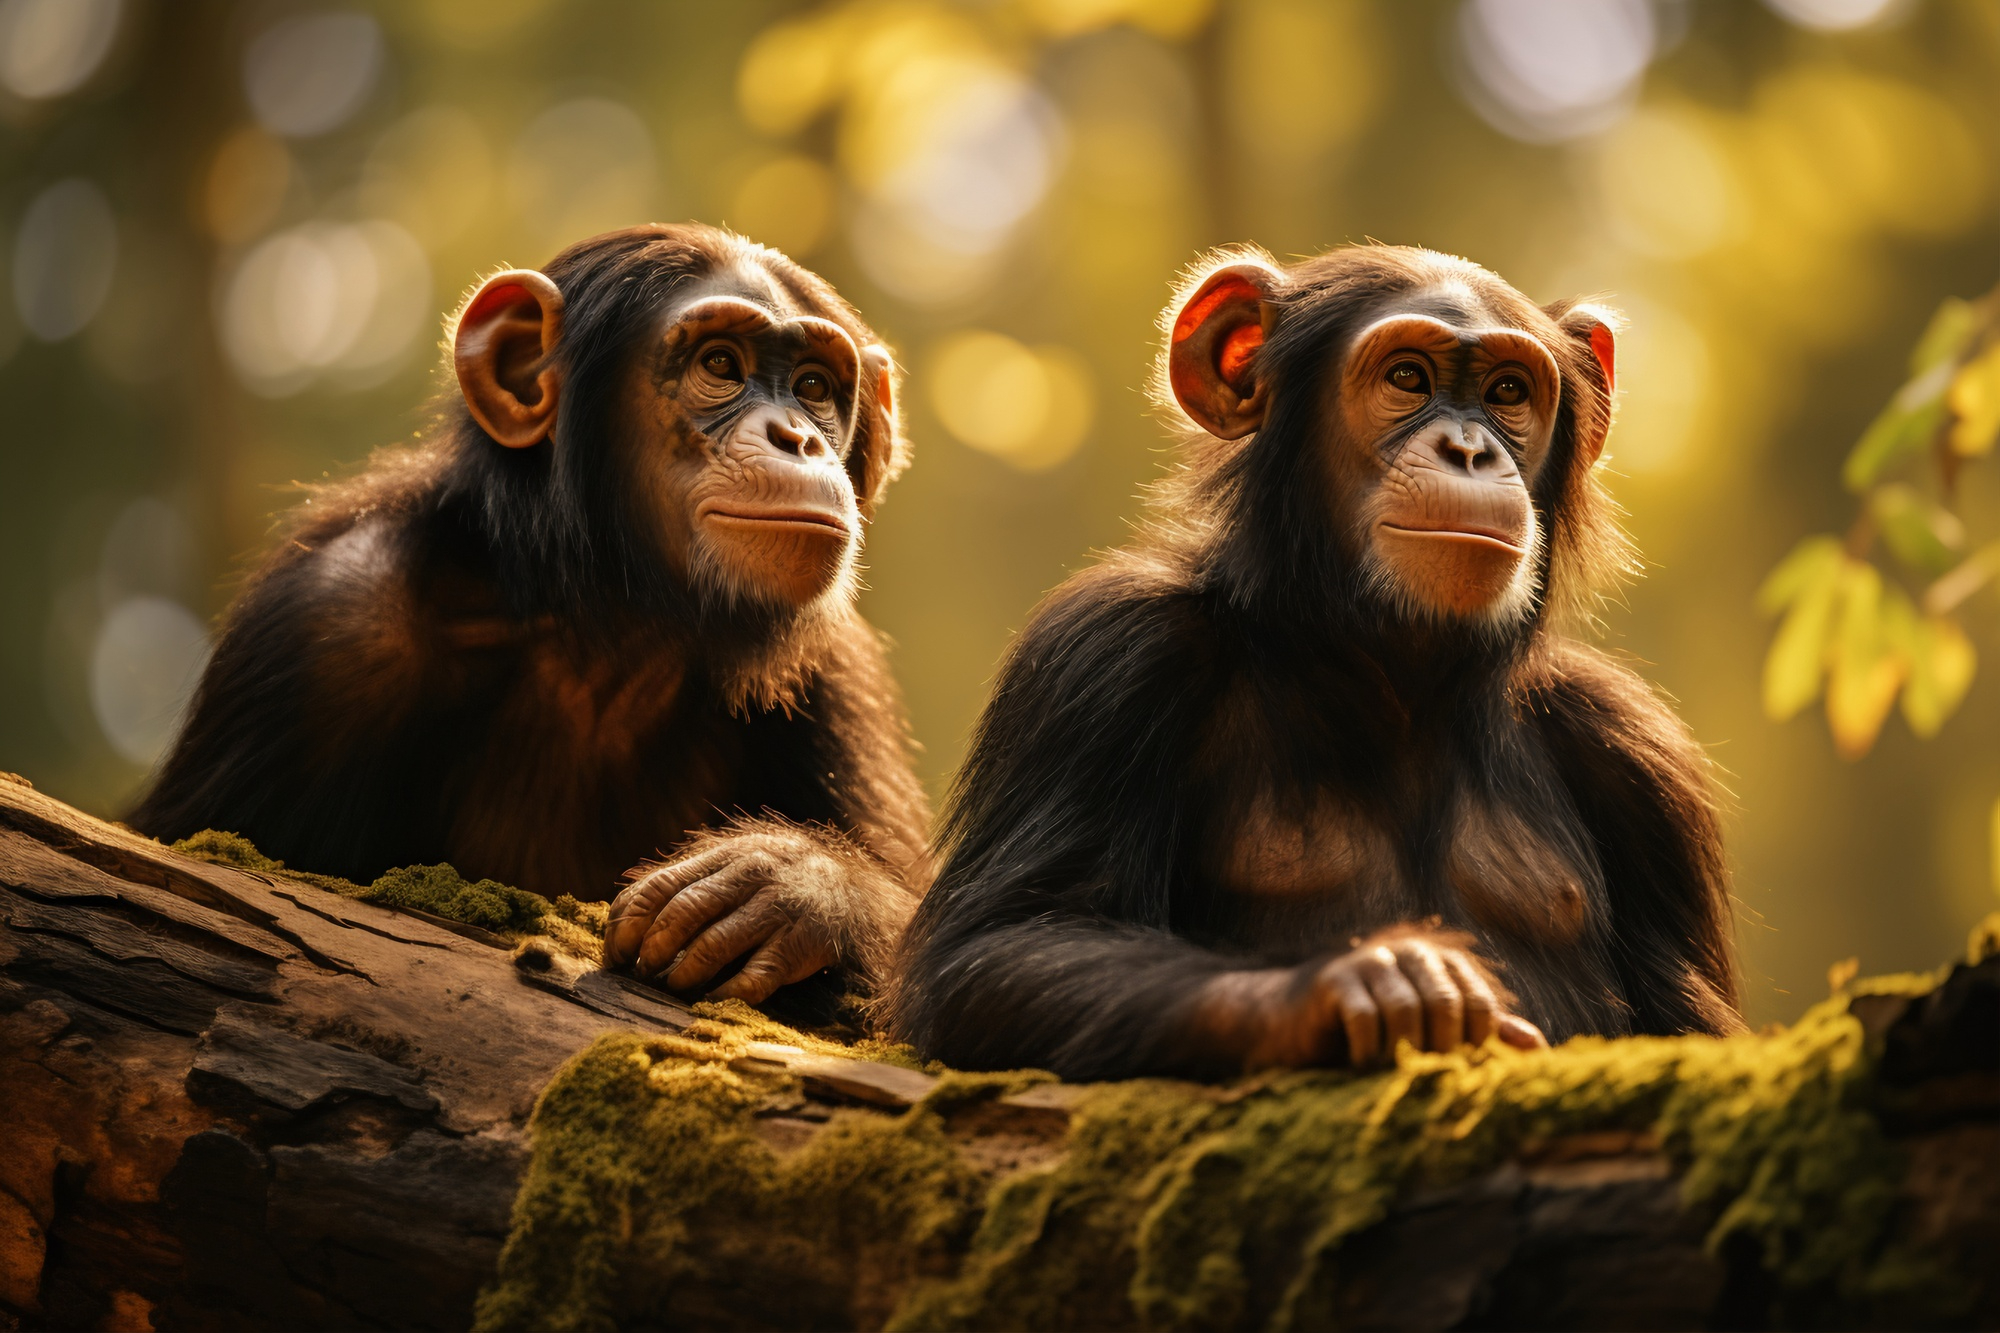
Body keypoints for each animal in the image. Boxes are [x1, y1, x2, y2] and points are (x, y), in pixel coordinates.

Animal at [132, 224, 929, 1005]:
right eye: (721, 364)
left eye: (813, 386)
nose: (797, 437)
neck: (606, 624)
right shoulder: (326, 625)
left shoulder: (839, 672)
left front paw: (792, 885)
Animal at [884, 243, 1744, 1082]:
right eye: (1407, 378)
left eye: (1507, 392)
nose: (1469, 450)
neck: (1383, 658)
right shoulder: (1103, 657)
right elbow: (1011, 940)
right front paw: (1360, 984)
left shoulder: (1631, 749)